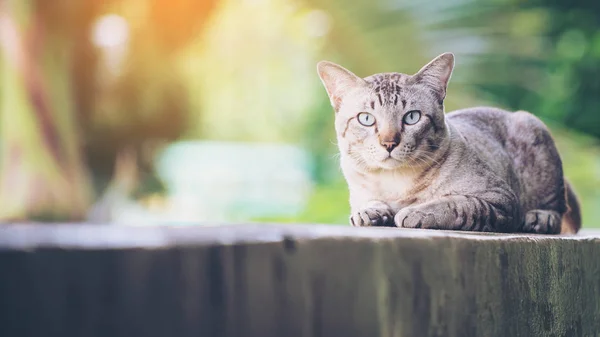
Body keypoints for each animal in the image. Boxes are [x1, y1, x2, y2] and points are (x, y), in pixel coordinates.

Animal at [316, 53, 580, 234]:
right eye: (366, 119)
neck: (396, 184)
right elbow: (364, 204)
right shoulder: (360, 191)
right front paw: (370, 212)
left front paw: (416, 212)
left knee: (557, 209)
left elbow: (458, 204)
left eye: (411, 117)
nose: (389, 143)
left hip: (533, 131)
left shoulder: (501, 199)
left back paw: (539, 218)